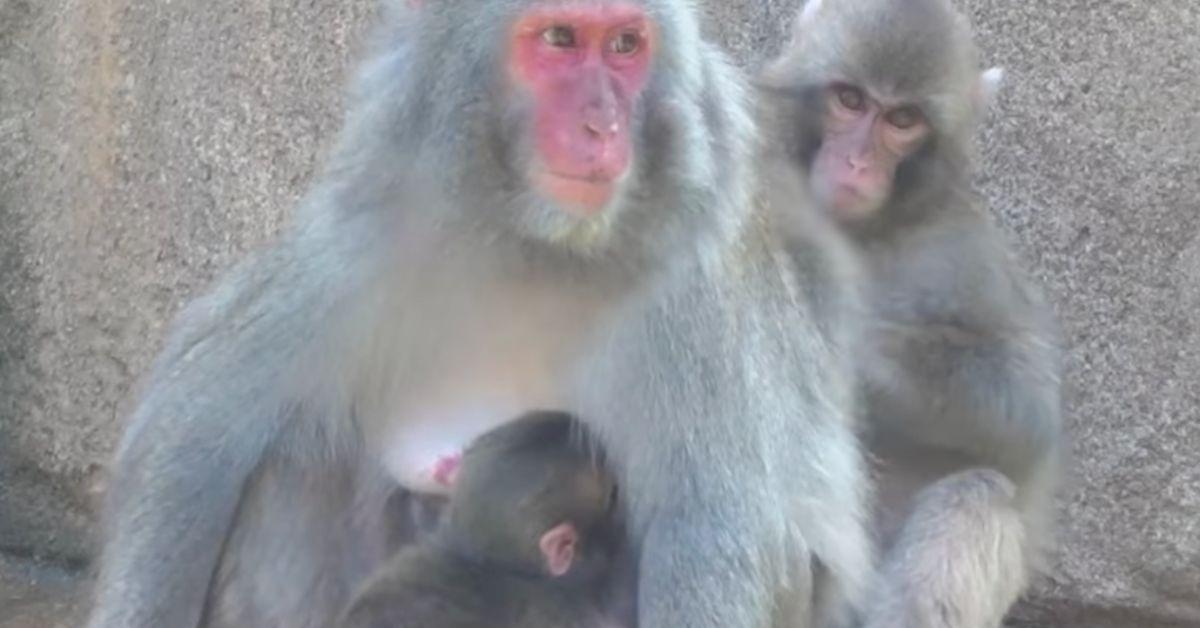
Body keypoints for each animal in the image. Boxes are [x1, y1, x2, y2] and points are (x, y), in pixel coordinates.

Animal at [758, 1, 1065, 627]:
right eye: (850, 100)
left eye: (902, 119)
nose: (855, 162)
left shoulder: (962, 249)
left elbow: (1027, 404)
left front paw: (858, 360)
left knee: (978, 495)